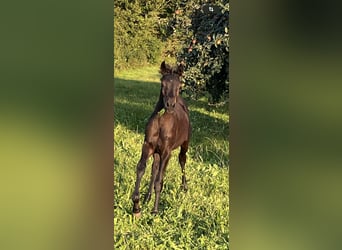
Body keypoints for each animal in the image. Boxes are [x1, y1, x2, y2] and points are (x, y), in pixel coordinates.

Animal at [131, 61, 191, 217]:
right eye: (162, 83)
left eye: (179, 86)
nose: (169, 105)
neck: (161, 122)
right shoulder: (148, 146)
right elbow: (141, 168)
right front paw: (137, 206)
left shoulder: (166, 151)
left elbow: (159, 180)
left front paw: (155, 210)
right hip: (157, 153)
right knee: (155, 168)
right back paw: (147, 197)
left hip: (184, 144)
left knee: (182, 160)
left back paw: (184, 187)